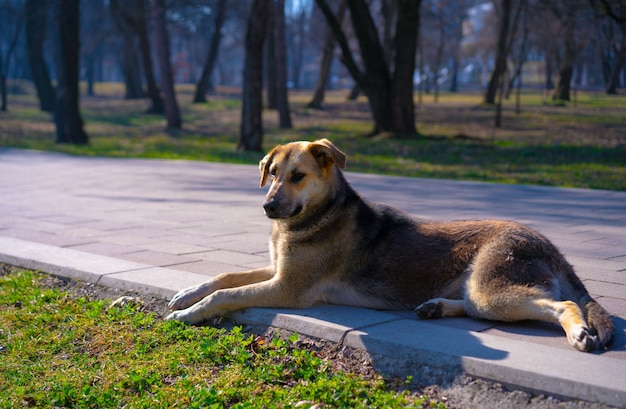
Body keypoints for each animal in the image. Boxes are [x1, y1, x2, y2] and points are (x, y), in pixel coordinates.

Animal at [165, 137, 608, 350]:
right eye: (272, 172)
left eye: (297, 176)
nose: (268, 206)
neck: (317, 215)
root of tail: (549, 244)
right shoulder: (277, 269)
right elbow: (224, 276)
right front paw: (186, 293)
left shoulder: (287, 287)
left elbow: (225, 295)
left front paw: (189, 314)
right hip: (481, 291)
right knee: (475, 307)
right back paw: (434, 307)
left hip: (490, 289)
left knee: (563, 304)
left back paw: (577, 332)